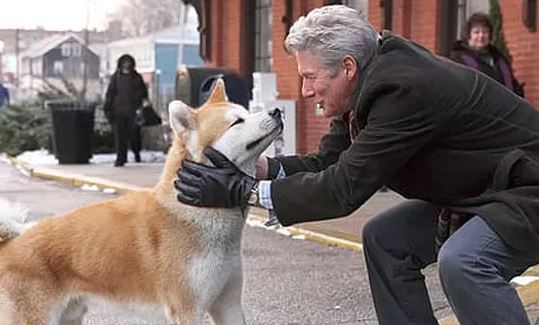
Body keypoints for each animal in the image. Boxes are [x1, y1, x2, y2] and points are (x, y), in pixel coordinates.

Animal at [0, 79, 284, 324]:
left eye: (246, 112)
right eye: (237, 122)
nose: (277, 111)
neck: (194, 209)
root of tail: (11, 244)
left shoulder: (228, 304)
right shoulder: (188, 309)